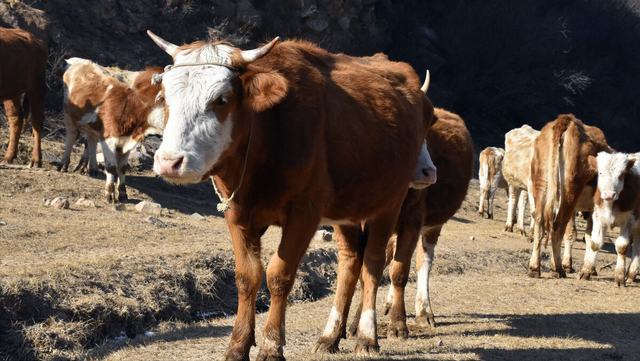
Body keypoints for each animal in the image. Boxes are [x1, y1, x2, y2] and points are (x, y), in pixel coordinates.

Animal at [0, 26, 47, 167]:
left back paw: (35, 160)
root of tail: (38, 41)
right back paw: (9, 157)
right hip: (12, 92)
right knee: (16, 119)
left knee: (37, 122)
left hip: (37, 86)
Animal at [146, 31, 436, 360]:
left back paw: (366, 337)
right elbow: (247, 277)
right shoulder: (236, 212)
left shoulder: (304, 213)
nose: (169, 162)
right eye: (165, 97)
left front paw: (272, 345)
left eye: (221, 99)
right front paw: (237, 346)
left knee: (373, 261)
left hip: (391, 200)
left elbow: (279, 275)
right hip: (346, 209)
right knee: (350, 262)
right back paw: (330, 336)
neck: (266, 136)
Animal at [344, 107, 476, 338]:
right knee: (392, 257)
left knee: (423, 261)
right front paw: (355, 324)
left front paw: (398, 325)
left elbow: (400, 273)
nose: (430, 172)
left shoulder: (413, 221)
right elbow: (367, 272)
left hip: (434, 224)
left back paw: (424, 311)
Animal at [528, 114, 612, 278]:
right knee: (558, 225)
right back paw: (557, 269)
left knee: (540, 223)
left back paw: (534, 268)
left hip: (541, 183)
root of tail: (567, 120)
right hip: (570, 189)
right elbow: (590, 237)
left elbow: (575, 234)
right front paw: (587, 269)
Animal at [580, 151, 640, 284]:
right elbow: (595, 243)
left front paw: (619, 276)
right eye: (600, 173)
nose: (609, 194)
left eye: (621, 175)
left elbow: (622, 247)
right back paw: (631, 274)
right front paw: (586, 271)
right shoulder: (598, 216)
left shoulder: (629, 221)